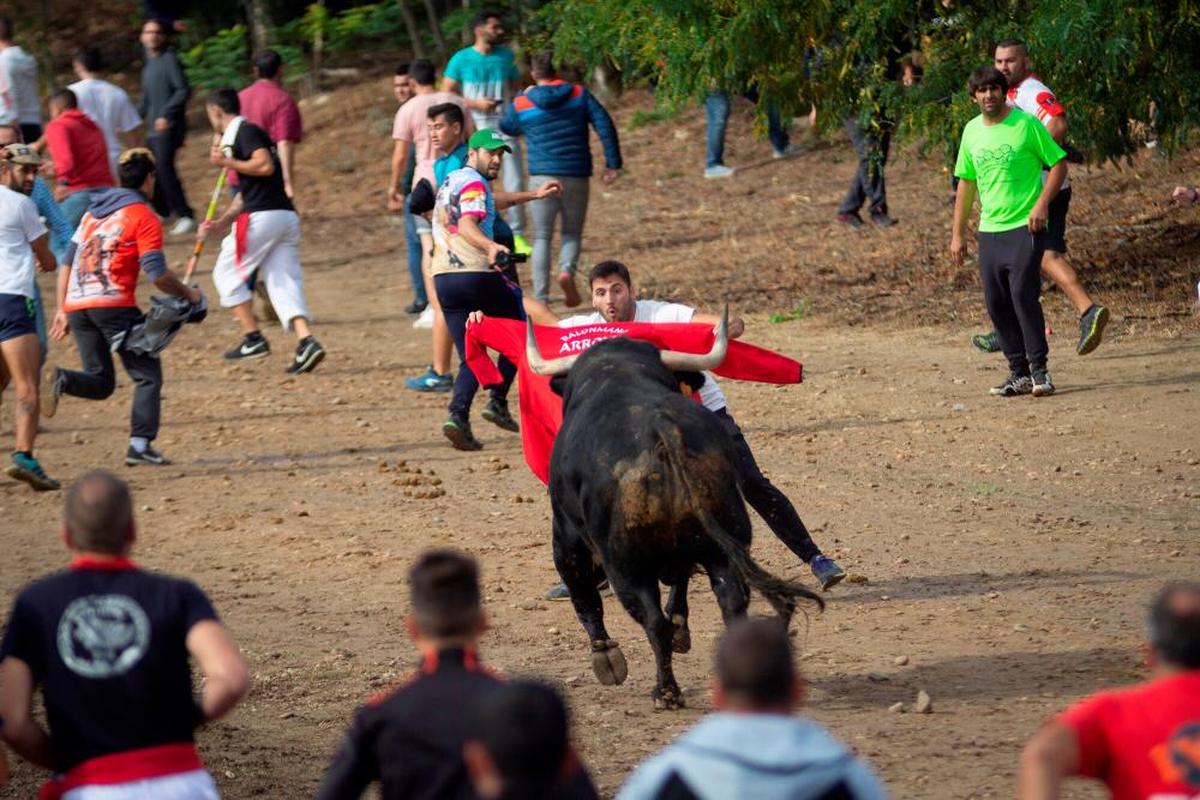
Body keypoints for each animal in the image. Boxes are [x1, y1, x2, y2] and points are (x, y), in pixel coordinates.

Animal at [535, 328, 825, 710]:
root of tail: (661, 431)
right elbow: (681, 585)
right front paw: (681, 631)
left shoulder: (566, 535)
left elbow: (584, 594)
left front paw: (606, 659)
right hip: (722, 543)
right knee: (732, 603)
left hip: (627, 565)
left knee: (651, 620)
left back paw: (666, 692)